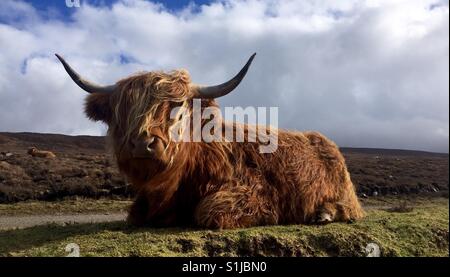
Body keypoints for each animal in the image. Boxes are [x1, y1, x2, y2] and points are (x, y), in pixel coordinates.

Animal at [57, 52, 366, 227]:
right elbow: (134, 216)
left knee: (350, 208)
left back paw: (324, 214)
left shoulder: (252, 192)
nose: (142, 143)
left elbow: (207, 212)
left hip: (343, 192)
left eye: (178, 109)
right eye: (122, 111)